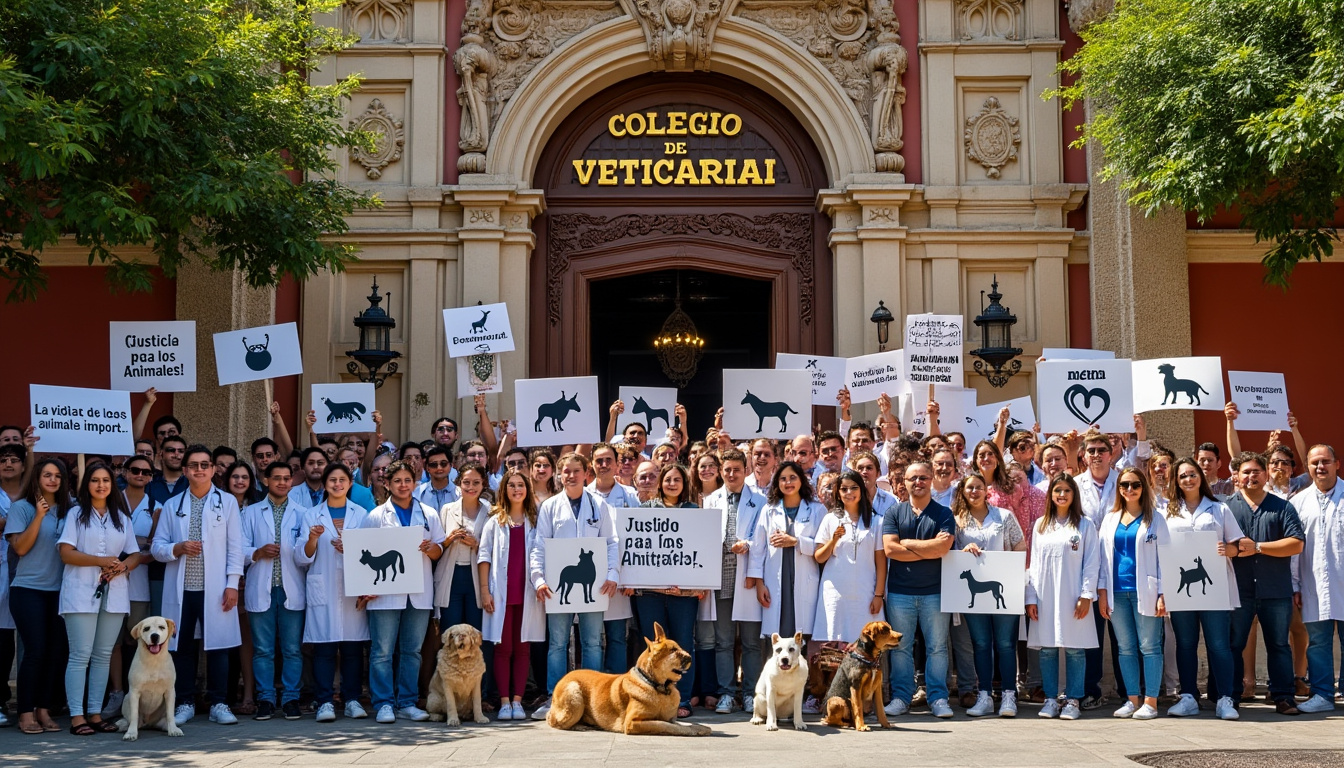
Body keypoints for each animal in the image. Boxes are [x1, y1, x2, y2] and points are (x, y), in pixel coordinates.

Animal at [545, 621, 715, 737]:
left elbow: (683, 722)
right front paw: (690, 731)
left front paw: (699, 727)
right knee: (553, 721)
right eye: (673, 650)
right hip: (574, 695)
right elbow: (667, 726)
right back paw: (579, 726)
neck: (656, 686)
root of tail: (564, 677)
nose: (691, 658)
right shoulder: (633, 723)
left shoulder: (670, 718)